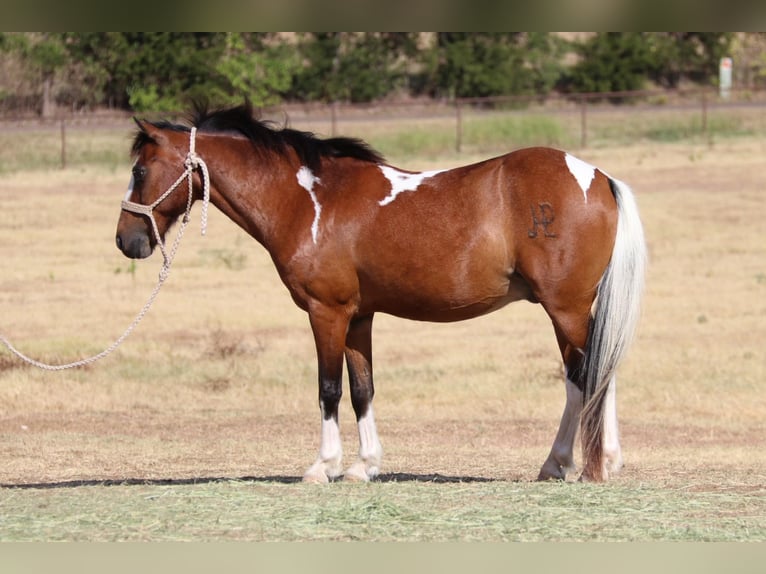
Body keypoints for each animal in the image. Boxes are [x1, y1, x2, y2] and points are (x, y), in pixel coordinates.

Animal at [115, 102, 648, 482]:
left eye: (140, 171)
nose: (127, 240)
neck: (310, 202)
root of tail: (599, 178)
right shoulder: (359, 316)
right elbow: (362, 389)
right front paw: (364, 465)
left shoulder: (326, 312)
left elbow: (328, 388)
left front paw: (323, 466)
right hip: (569, 311)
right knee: (590, 375)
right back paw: (567, 463)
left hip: (566, 308)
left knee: (589, 375)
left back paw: (588, 465)